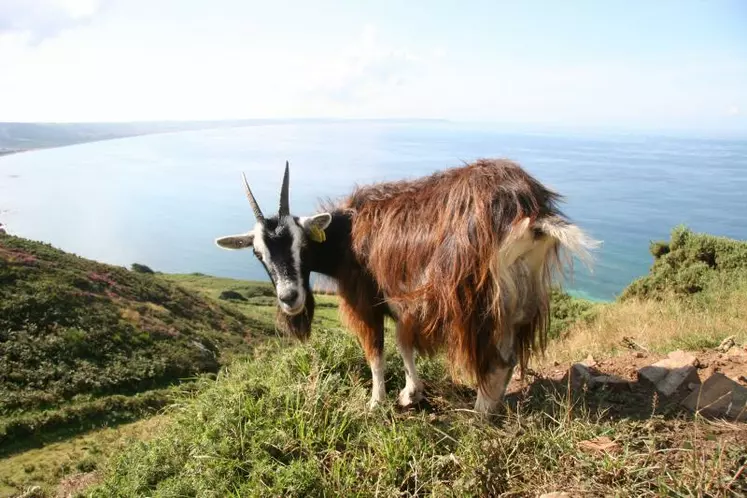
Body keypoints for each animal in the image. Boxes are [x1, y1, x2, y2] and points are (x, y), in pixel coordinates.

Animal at [213, 160, 600, 412]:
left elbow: (377, 350)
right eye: (258, 254)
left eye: (303, 245)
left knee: (496, 357)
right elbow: (404, 344)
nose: (289, 297)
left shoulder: (365, 299)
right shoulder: (401, 300)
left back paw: (478, 415)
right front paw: (411, 393)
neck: (348, 234)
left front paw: (376, 402)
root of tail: (532, 211)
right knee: (510, 353)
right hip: (519, 293)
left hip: (477, 297)